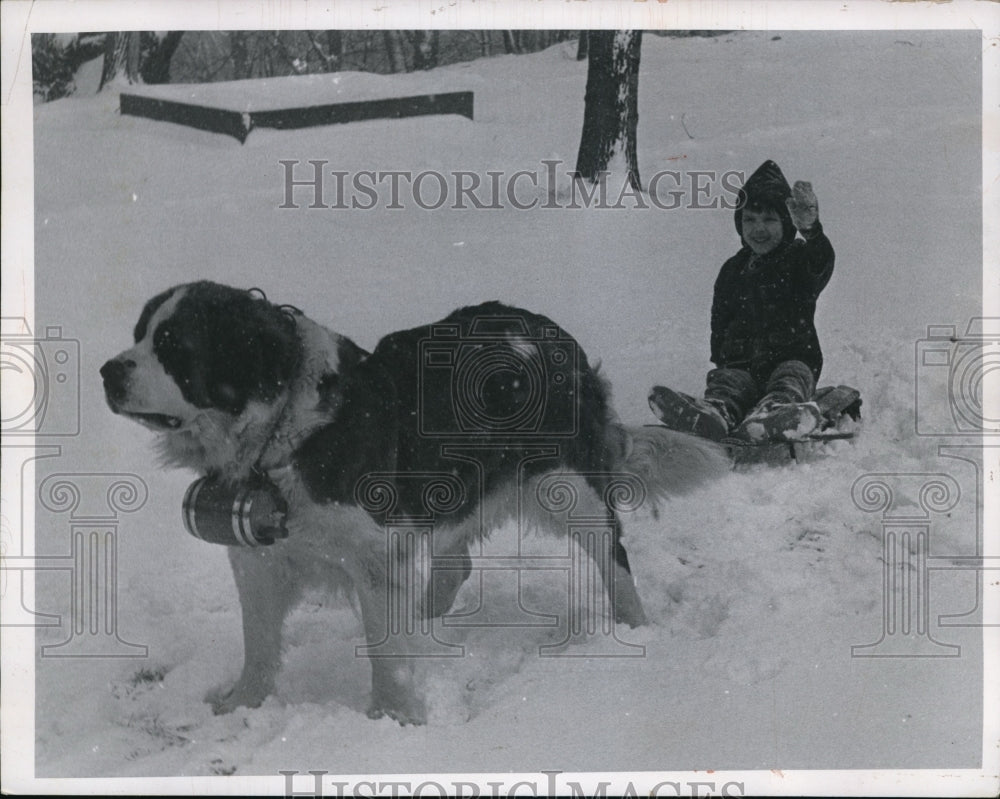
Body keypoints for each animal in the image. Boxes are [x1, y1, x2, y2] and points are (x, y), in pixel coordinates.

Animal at [103, 282, 728, 724]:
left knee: (612, 552)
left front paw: (393, 717)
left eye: (172, 346)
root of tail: (550, 332)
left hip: (566, 487)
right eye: (139, 334)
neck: (284, 431)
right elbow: (258, 641)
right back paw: (428, 623)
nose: (109, 370)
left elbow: (384, 650)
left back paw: (634, 625)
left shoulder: (376, 555)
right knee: (456, 562)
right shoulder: (258, 555)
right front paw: (242, 704)